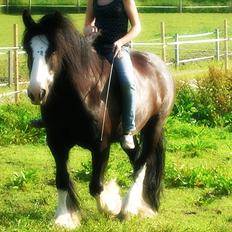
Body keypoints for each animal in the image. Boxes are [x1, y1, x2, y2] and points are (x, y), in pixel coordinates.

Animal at [22, 10, 174, 228]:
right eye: (28, 49)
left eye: (53, 51)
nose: (36, 92)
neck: (78, 97)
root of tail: (160, 65)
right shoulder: (57, 144)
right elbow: (61, 180)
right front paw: (63, 217)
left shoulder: (100, 146)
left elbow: (95, 186)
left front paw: (110, 206)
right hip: (128, 136)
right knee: (137, 157)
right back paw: (142, 205)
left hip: (154, 126)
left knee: (142, 163)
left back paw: (128, 208)